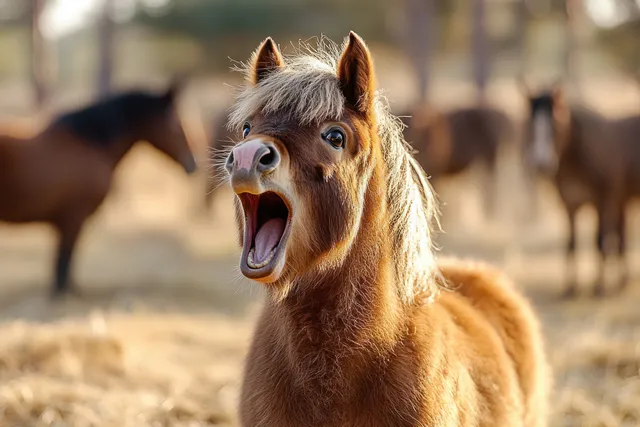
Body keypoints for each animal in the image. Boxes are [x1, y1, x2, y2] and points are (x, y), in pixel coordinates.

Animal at [521, 82, 640, 298]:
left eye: (556, 123)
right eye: (530, 125)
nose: (542, 163)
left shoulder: (603, 202)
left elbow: (600, 242)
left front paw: (599, 286)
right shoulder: (570, 205)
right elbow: (571, 243)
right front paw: (571, 287)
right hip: (621, 202)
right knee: (622, 237)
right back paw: (622, 281)